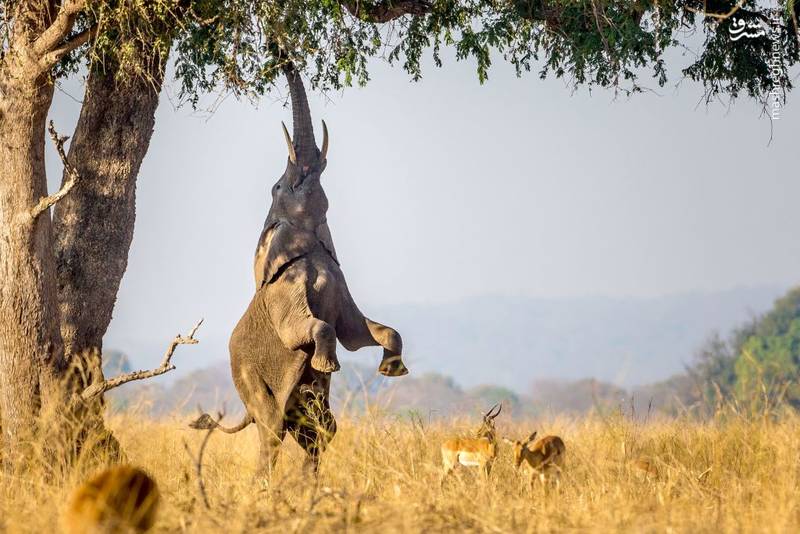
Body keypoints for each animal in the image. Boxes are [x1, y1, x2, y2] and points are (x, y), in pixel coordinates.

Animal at [191, 62, 410, 478]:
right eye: (280, 186)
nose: (281, 57)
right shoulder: (283, 293)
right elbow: (311, 330)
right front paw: (328, 362)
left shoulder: (340, 281)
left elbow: (361, 330)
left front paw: (394, 371)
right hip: (251, 380)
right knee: (272, 430)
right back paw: (267, 486)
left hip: (304, 406)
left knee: (321, 431)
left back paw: (308, 484)